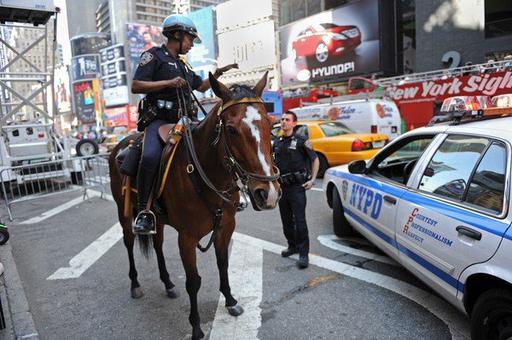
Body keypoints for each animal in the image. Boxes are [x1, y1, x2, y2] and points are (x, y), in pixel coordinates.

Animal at [108, 71, 282, 338]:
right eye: (231, 129)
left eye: (271, 124)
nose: (268, 193)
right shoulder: (187, 237)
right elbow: (194, 281)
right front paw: (197, 326)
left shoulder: (225, 227)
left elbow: (223, 263)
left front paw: (230, 301)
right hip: (124, 213)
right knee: (128, 243)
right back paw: (135, 284)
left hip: (157, 218)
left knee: (157, 245)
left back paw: (168, 283)